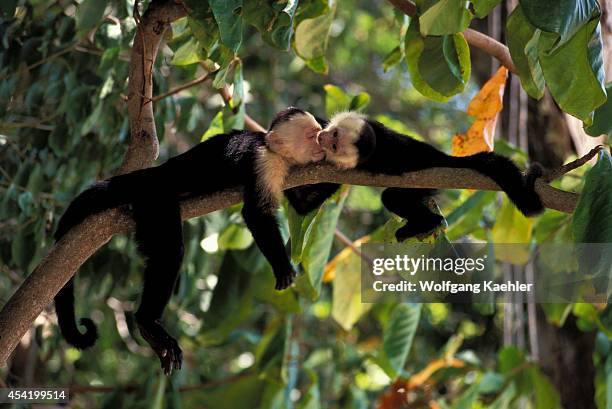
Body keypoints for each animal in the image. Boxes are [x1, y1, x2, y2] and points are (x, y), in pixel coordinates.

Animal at [55, 107, 326, 374]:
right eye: (311, 136)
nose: (322, 144)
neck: (274, 150)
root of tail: (155, 173)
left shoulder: (291, 172)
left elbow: (302, 206)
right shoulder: (263, 162)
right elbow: (256, 214)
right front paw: (282, 267)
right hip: (154, 199)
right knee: (170, 252)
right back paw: (148, 322)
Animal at [284, 110, 544, 241]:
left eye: (336, 144)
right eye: (334, 133)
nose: (324, 138)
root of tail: (444, 159)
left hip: (427, 178)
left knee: (392, 197)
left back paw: (428, 222)